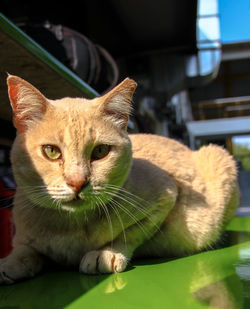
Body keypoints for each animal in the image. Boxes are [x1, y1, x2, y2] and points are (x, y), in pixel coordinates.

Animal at [0, 74, 238, 282]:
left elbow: (129, 233)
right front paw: (9, 263)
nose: (77, 182)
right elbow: (25, 250)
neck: (69, 225)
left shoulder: (167, 196)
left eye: (100, 151)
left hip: (218, 157)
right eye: (51, 151)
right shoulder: (23, 236)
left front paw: (105, 253)